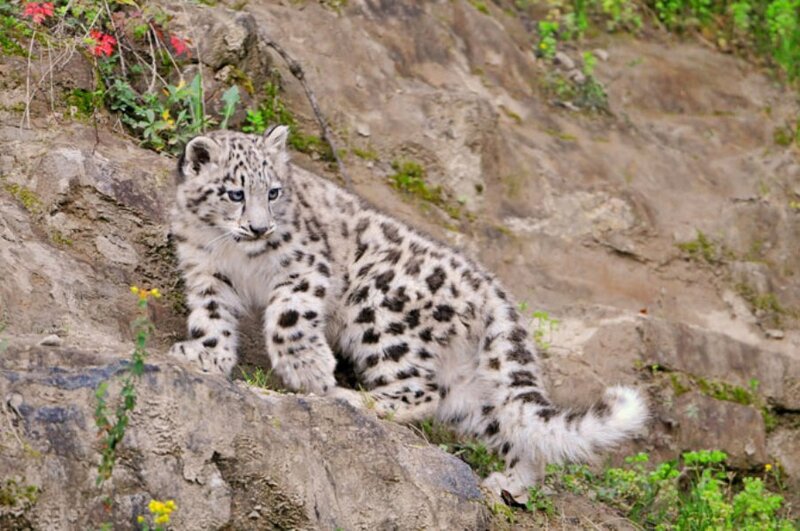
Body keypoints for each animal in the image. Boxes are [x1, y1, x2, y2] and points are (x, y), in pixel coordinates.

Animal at [168, 126, 648, 500]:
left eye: (273, 191)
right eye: (235, 193)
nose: (260, 227)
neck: (234, 253)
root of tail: (490, 286)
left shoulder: (305, 267)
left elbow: (290, 316)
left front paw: (308, 370)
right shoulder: (207, 273)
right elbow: (210, 315)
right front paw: (206, 354)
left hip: (378, 309)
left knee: (419, 390)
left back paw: (351, 397)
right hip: (469, 386)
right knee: (507, 426)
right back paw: (509, 485)